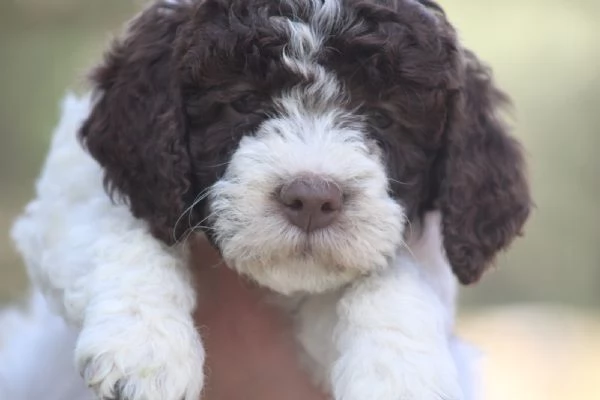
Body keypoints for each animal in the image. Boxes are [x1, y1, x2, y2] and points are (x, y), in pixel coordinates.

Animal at [10, 0, 528, 400]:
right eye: (243, 102)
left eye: (383, 118)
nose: (312, 199)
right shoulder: (76, 185)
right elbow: (119, 223)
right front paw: (146, 350)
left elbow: (395, 273)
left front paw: (401, 376)